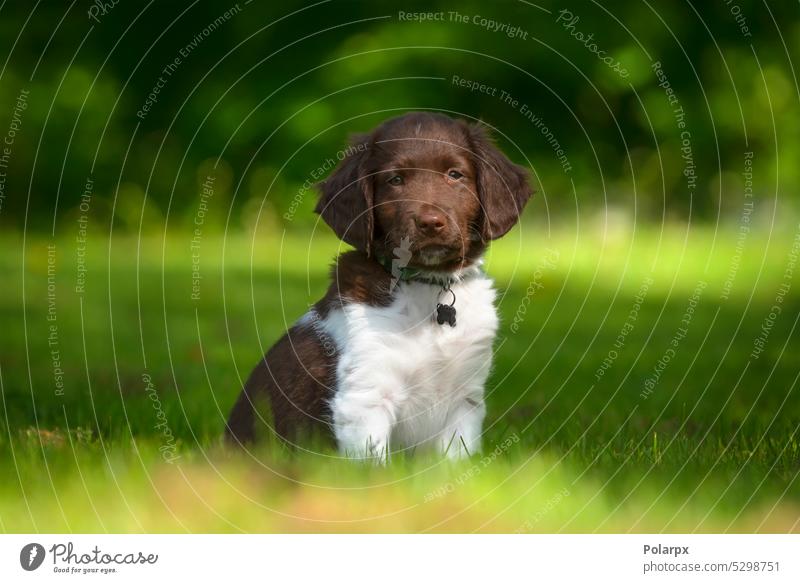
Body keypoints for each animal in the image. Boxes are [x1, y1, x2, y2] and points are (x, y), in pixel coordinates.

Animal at [225, 112, 536, 458]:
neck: (428, 289)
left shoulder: (465, 396)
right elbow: (372, 464)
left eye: (455, 175)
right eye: (395, 180)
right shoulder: (365, 395)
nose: (430, 223)